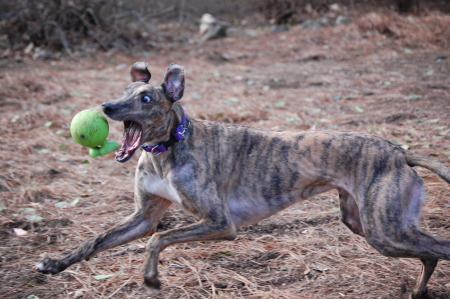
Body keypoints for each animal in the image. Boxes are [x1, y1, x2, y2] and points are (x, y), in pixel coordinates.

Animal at [36, 62, 450, 298]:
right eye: (123, 92)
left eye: (146, 98)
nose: (105, 107)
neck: (170, 147)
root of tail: (399, 151)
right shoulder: (143, 217)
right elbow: (96, 241)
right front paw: (54, 264)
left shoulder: (220, 223)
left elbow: (157, 240)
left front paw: (151, 278)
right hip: (365, 223)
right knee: (429, 254)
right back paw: (418, 291)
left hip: (386, 231)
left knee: (439, 248)